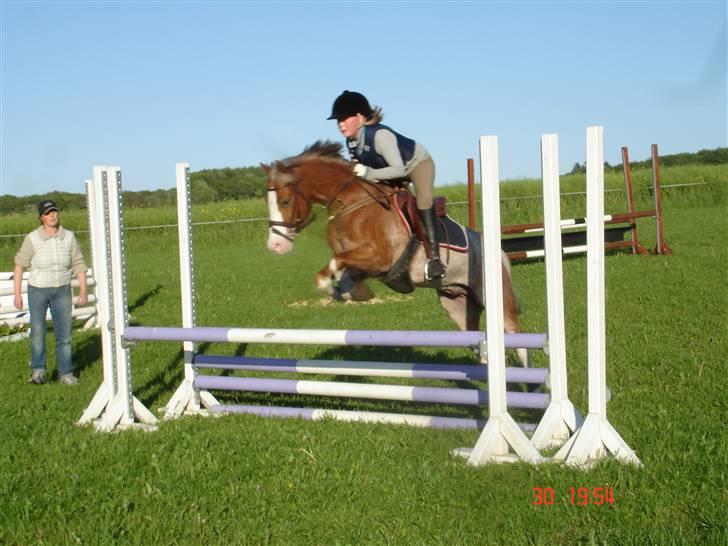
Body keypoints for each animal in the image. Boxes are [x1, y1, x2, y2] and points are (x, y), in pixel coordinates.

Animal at [262, 140, 528, 364]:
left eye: (285, 202)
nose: (275, 246)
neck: (352, 203)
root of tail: (496, 251)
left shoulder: (381, 258)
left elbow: (336, 262)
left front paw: (340, 289)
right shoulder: (363, 264)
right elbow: (338, 272)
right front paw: (352, 292)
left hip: (495, 296)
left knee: (517, 336)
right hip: (457, 304)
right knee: (477, 342)